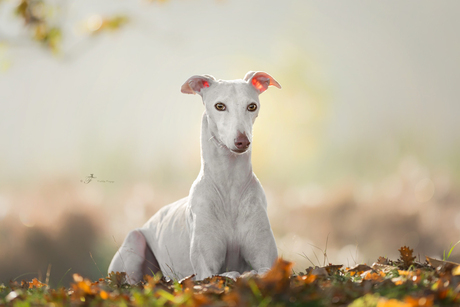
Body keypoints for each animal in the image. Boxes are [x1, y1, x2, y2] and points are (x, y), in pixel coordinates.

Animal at [108, 71, 280, 284]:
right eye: (219, 106)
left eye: (252, 106)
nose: (242, 141)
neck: (229, 188)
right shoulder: (206, 270)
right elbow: (228, 273)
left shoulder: (267, 261)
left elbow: (262, 271)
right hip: (135, 240)